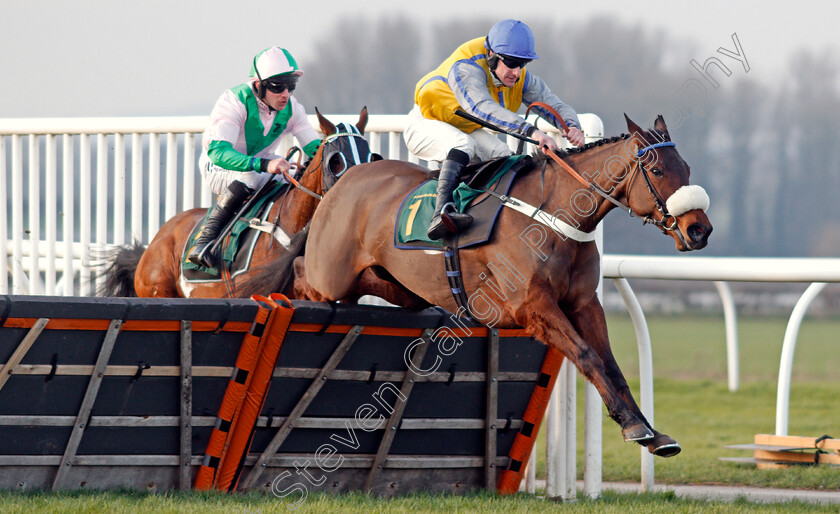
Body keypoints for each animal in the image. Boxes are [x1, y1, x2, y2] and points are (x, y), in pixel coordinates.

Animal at [95, 108, 374, 298]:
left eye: (372, 156)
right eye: (335, 161)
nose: (359, 196)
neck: (288, 226)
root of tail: (154, 242)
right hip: (160, 290)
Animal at [292, 114, 712, 454]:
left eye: (688, 169)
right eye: (657, 172)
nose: (700, 230)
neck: (554, 213)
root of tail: (344, 181)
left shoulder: (583, 303)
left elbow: (610, 364)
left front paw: (653, 432)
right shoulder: (532, 307)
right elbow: (588, 356)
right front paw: (633, 425)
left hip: (399, 287)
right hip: (328, 276)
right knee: (300, 274)